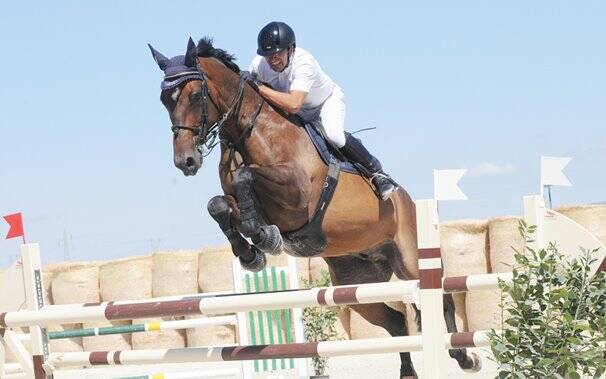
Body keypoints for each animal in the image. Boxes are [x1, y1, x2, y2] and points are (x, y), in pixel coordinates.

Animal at [150, 36, 482, 379]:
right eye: (164, 100)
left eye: (195, 95)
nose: (186, 161)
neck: (254, 133)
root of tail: (410, 202)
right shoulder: (238, 200)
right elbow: (218, 205)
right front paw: (251, 253)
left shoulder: (297, 197)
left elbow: (247, 178)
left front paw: (263, 238)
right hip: (355, 283)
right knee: (396, 321)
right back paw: (408, 371)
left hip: (410, 260)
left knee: (442, 299)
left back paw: (464, 356)